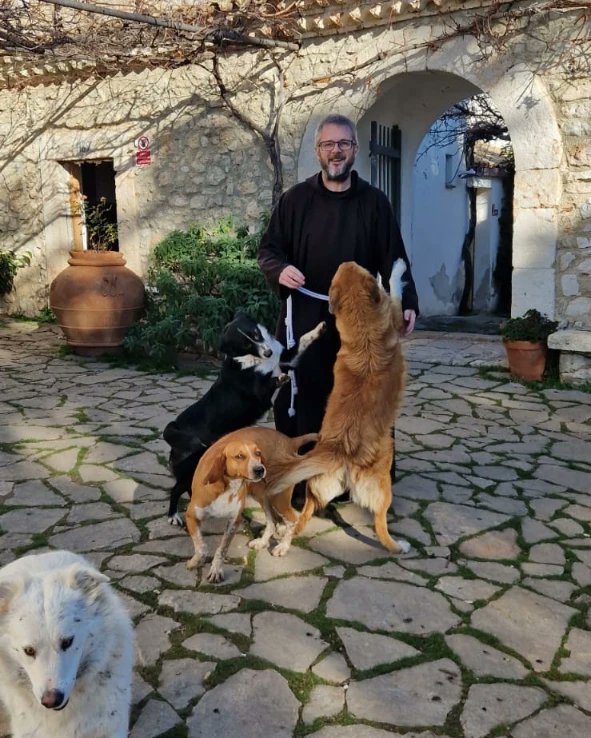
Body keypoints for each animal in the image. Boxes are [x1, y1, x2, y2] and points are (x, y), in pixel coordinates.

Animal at [164, 310, 326, 524]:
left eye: (256, 334)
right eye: (245, 344)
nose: (268, 353)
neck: (254, 360)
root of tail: (174, 427)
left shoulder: (285, 358)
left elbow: (302, 340)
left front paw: (319, 329)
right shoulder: (261, 395)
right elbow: (271, 382)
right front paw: (279, 378)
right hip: (190, 468)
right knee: (175, 490)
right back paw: (173, 515)